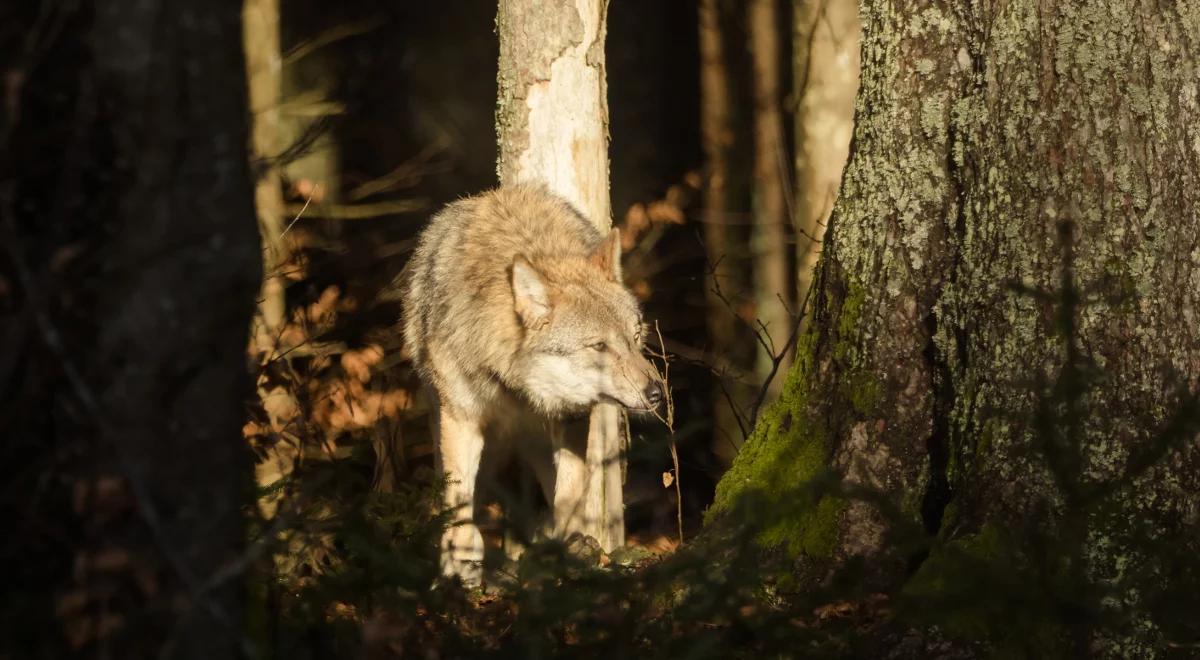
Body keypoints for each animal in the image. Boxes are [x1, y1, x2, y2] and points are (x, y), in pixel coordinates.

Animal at [403, 183, 667, 583]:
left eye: (635, 338)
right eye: (599, 346)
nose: (656, 392)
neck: (516, 391)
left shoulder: (572, 417)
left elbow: (569, 494)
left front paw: (561, 548)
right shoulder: (462, 419)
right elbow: (460, 505)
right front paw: (461, 569)